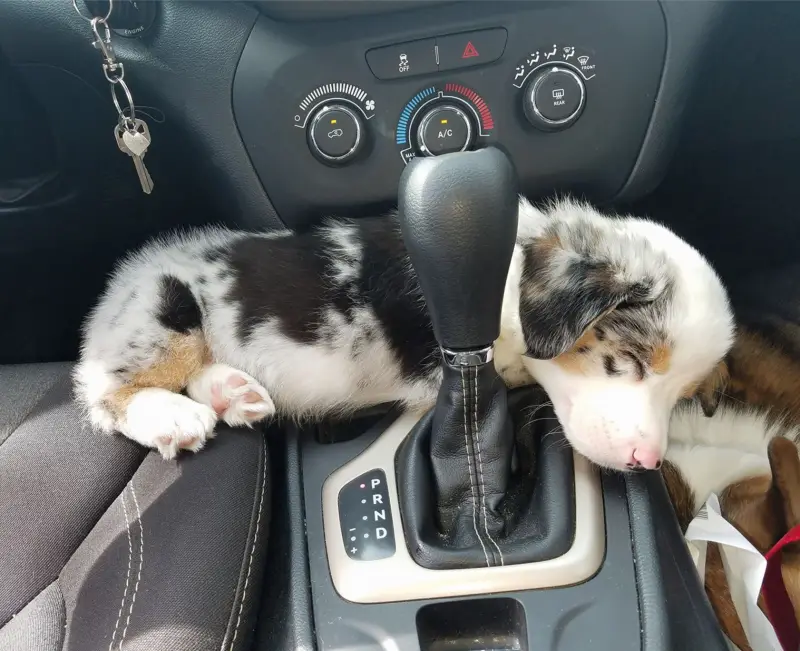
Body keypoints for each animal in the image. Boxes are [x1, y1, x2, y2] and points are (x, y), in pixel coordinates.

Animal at [72, 196, 736, 466]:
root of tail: (113, 290)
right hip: (167, 310)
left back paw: (235, 394)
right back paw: (172, 417)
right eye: (628, 361)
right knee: (102, 389)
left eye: (683, 396)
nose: (647, 463)